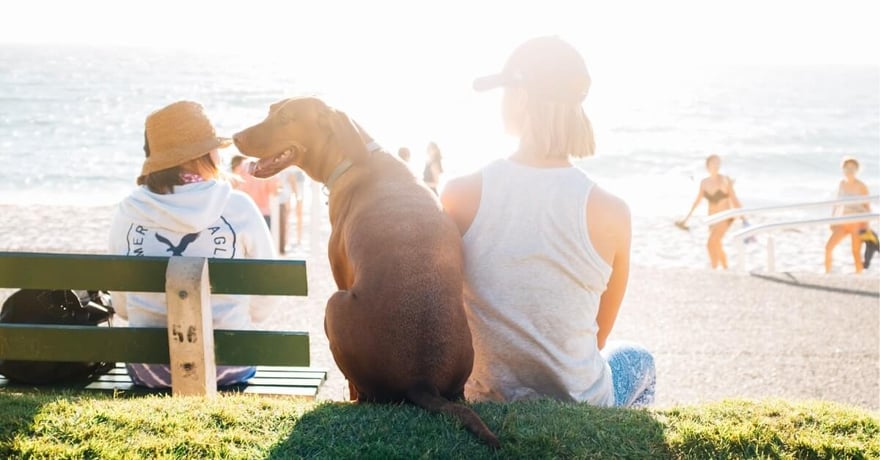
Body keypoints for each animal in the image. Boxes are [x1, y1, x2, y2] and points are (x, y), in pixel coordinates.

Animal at [234, 98, 498, 450]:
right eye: (270, 111)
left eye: (286, 118)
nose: (234, 137)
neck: (355, 156)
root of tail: (422, 381)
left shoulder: (341, 275)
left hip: (334, 305)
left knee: (361, 391)